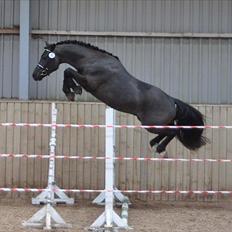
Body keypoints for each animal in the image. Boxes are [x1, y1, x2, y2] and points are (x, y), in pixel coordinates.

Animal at [32, 40, 207, 154]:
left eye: (45, 57)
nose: (35, 75)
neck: (93, 61)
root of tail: (172, 102)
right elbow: (68, 71)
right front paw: (72, 90)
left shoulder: (89, 82)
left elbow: (68, 71)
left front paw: (72, 91)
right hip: (156, 123)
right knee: (170, 131)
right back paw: (154, 143)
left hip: (151, 124)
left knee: (174, 131)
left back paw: (159, 148)